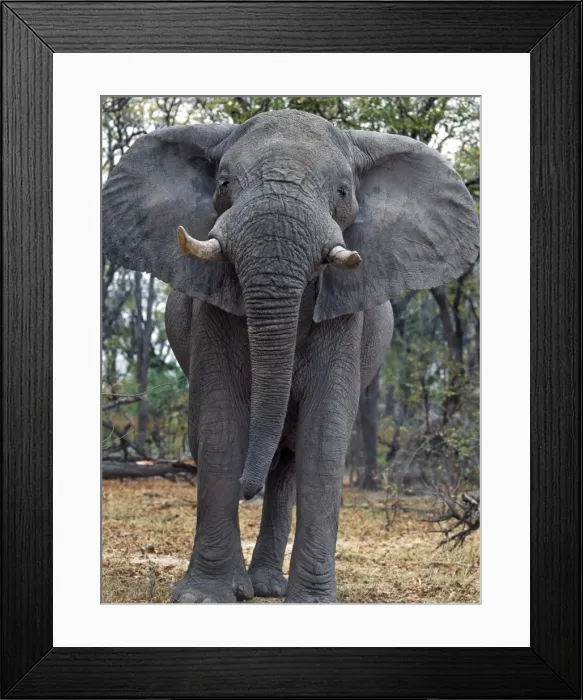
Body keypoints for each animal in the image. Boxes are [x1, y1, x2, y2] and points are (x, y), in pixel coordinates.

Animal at [102, 109, 479, 603]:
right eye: (224, 183)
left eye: (342, 192)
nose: (247, 490)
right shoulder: (214, 306)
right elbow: (222, 427)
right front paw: (206, 597)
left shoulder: (346, 316)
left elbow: (323, 439)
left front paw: (313, 602)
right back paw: (251, 585)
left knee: (288, 460)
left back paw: (266, 586)